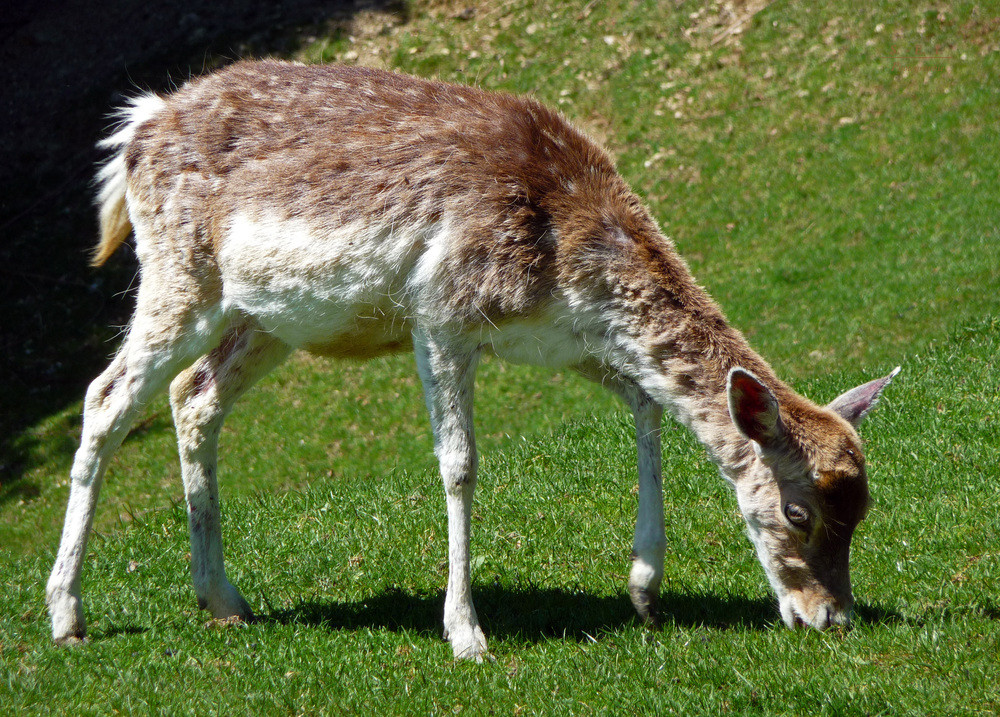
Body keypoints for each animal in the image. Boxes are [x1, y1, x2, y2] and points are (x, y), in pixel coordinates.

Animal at [45, 61, 900, 660]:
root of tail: (137, 129)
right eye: (799, 511)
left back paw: (223, 597)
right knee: (105, 396)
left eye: (862, 508)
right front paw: (466, 632)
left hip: (266, 317)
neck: (569, 264)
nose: (834, 616)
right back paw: (67, 613)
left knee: (194, 396)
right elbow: (459, 464)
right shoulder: (442, 312)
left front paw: (645, 589)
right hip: (180, 274)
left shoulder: (563, 340)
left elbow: (649, 403)